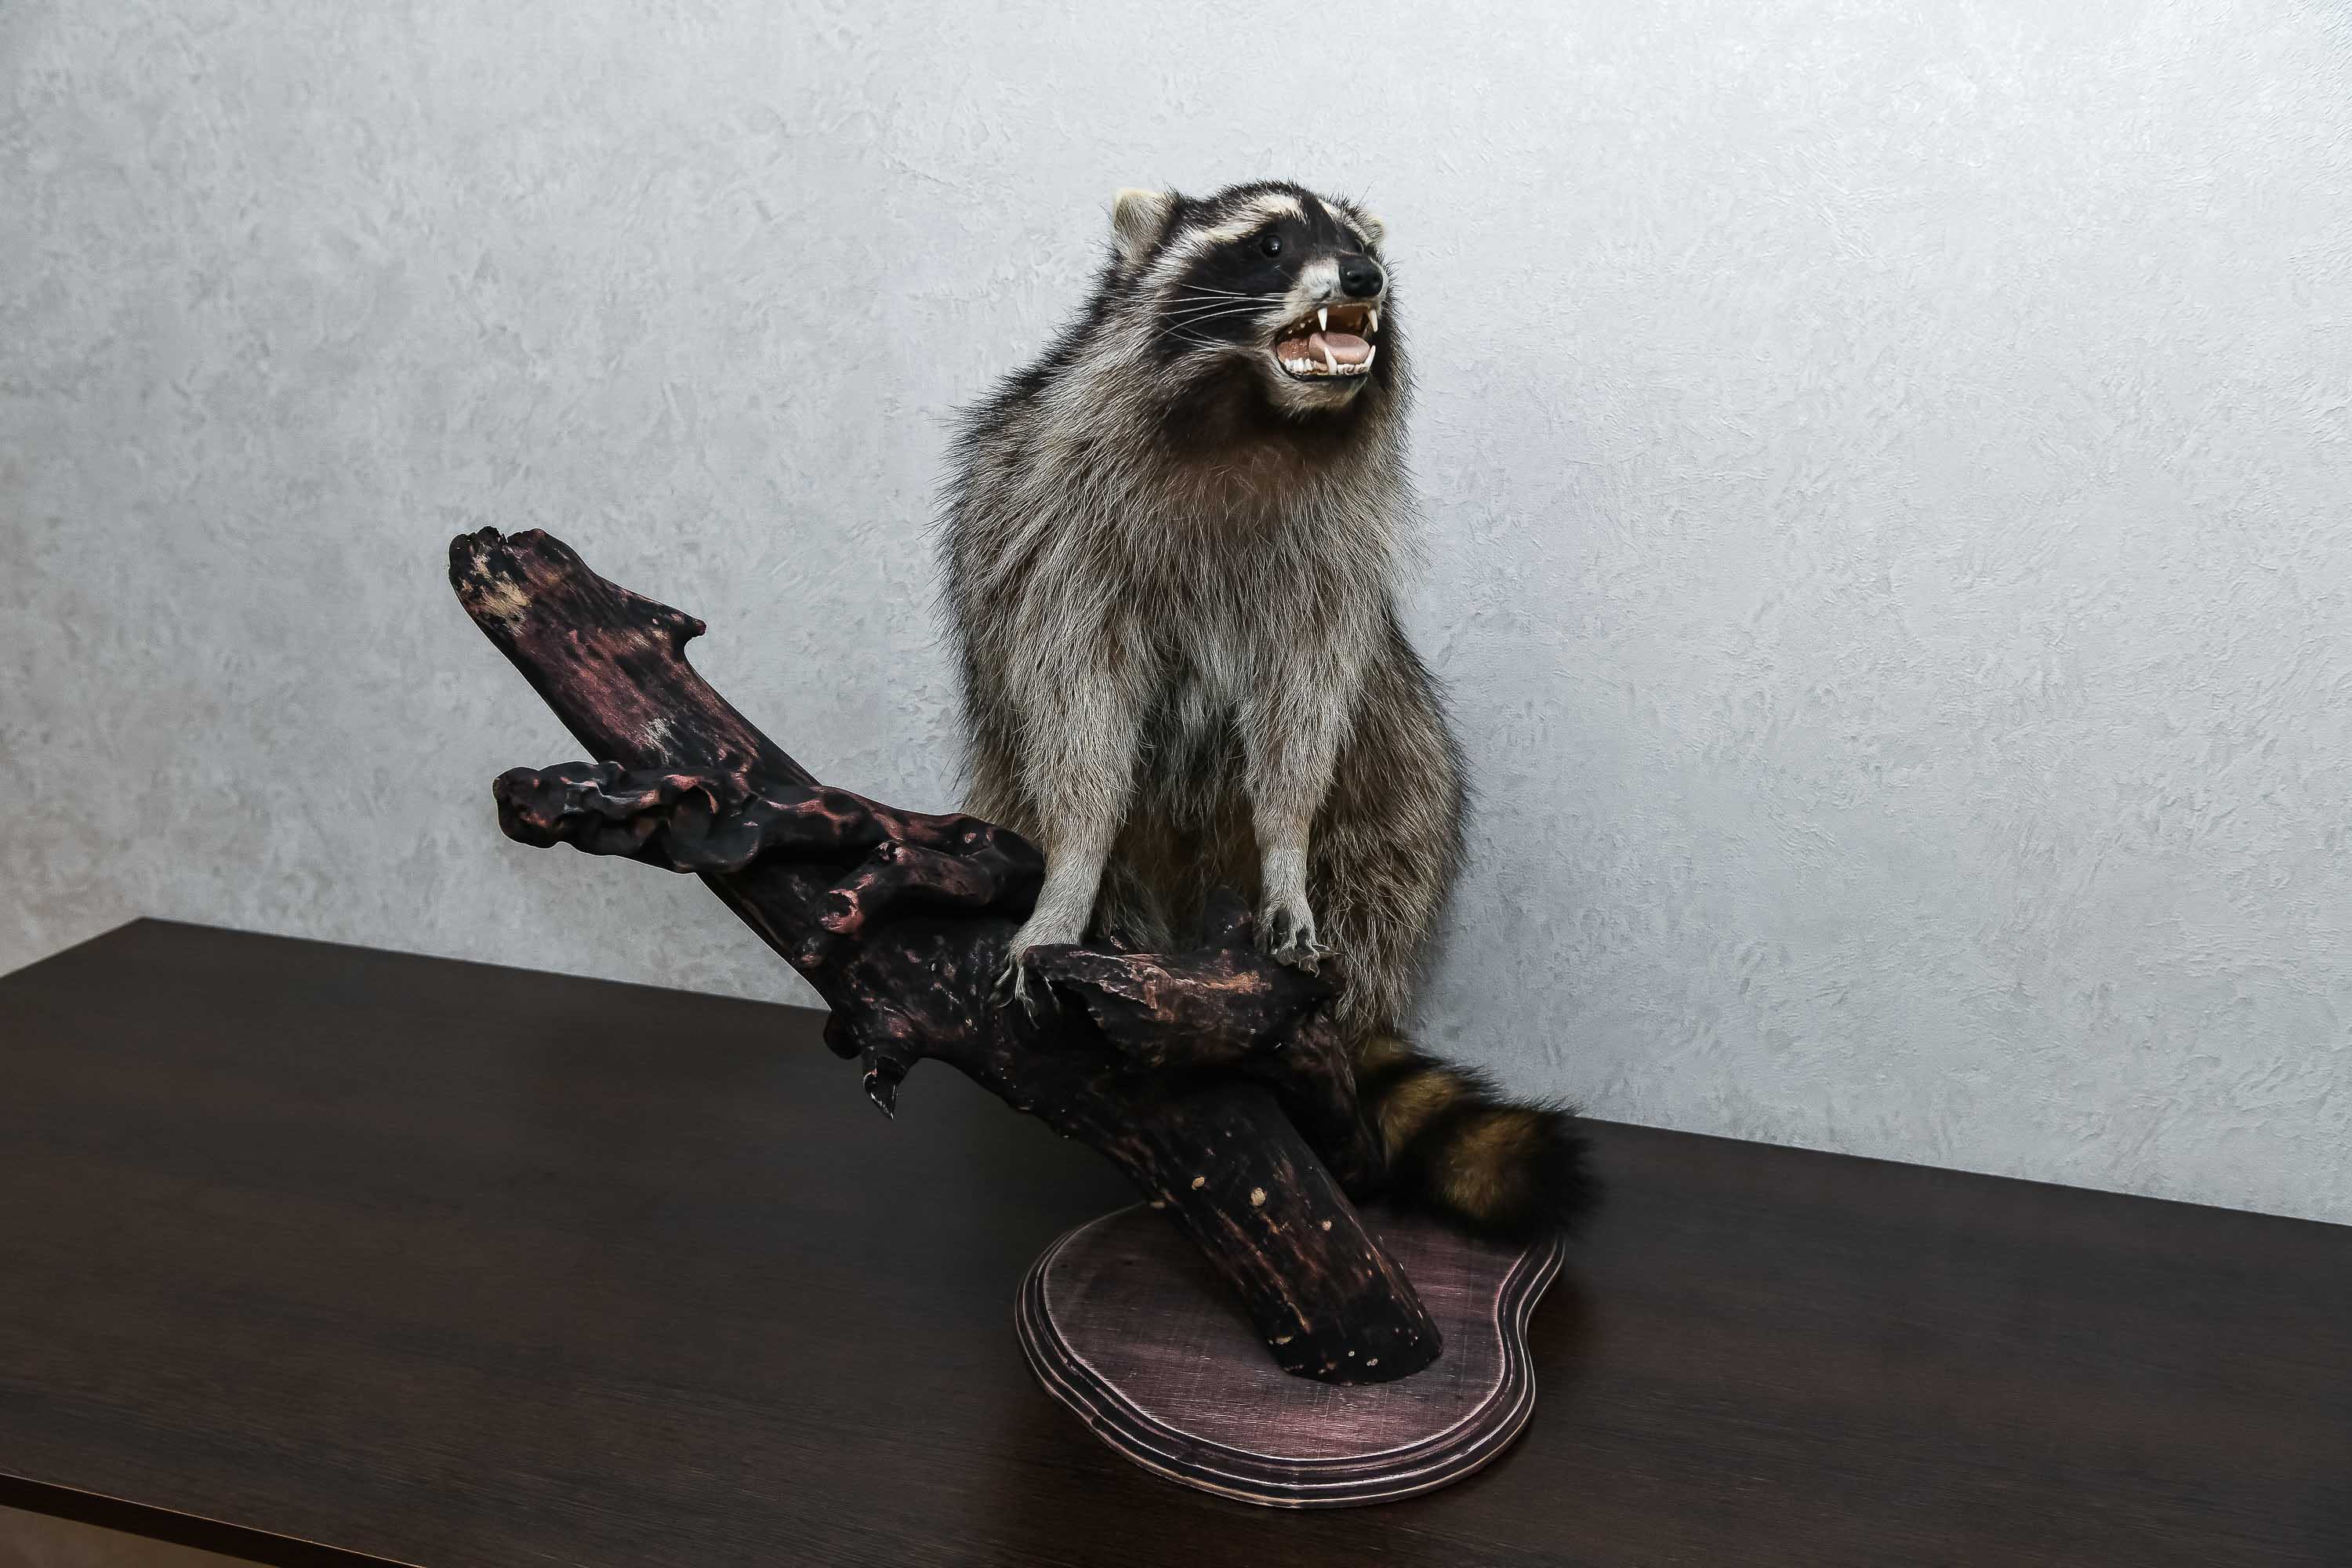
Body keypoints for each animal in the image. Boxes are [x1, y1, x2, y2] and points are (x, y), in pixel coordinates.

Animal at [937, 180, 1592, 1239]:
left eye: (1363, 242)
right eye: (1273, 243)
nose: (1364, 277)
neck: (1253, 414)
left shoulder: (1329, 558)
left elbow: (1304, 708)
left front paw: (1286, 848)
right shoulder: (1053, 518)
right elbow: (1075, 707)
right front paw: (1069, 877)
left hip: (1401, 769)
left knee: (1388, 830)